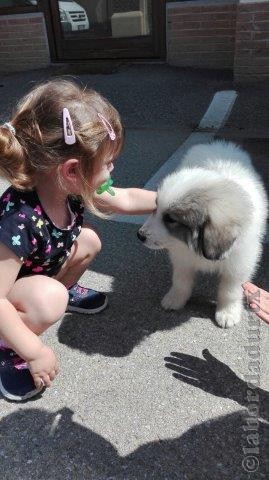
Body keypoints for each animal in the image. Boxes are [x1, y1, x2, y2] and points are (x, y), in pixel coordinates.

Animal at [138, 141, 266, 328]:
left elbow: (230, 290)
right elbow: (180, 280)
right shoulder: (182, 258)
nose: (140, 235)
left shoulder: (239, 263)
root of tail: (217, 145)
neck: (199, 246)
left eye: (170, 219)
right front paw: (175, 299)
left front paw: (227, 312)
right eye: (155, 207)